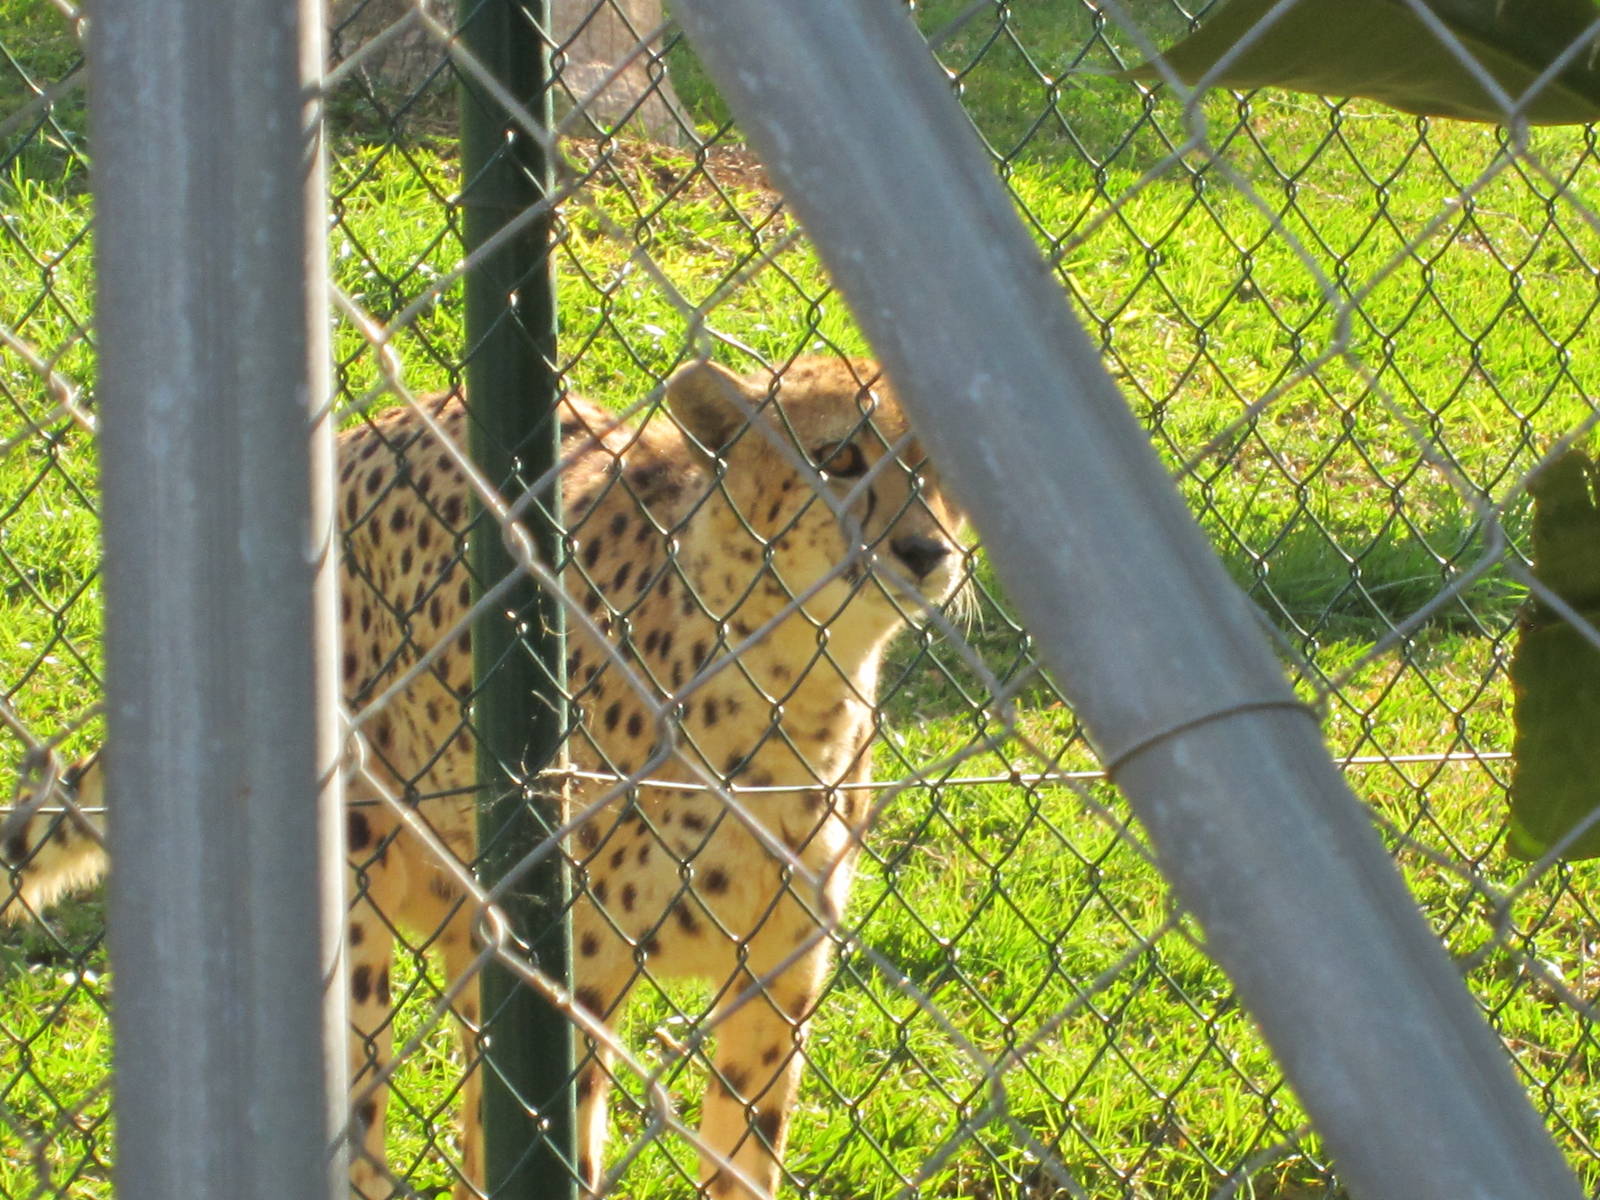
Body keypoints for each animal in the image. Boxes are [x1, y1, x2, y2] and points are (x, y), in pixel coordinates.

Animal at [3, 355, 967, 1199]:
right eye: (837, 458)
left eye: (939, 469)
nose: (927, 552)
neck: (794, 688)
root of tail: (358, 433)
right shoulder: (575, 978)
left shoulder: (774, 982)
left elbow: (741, 1159)